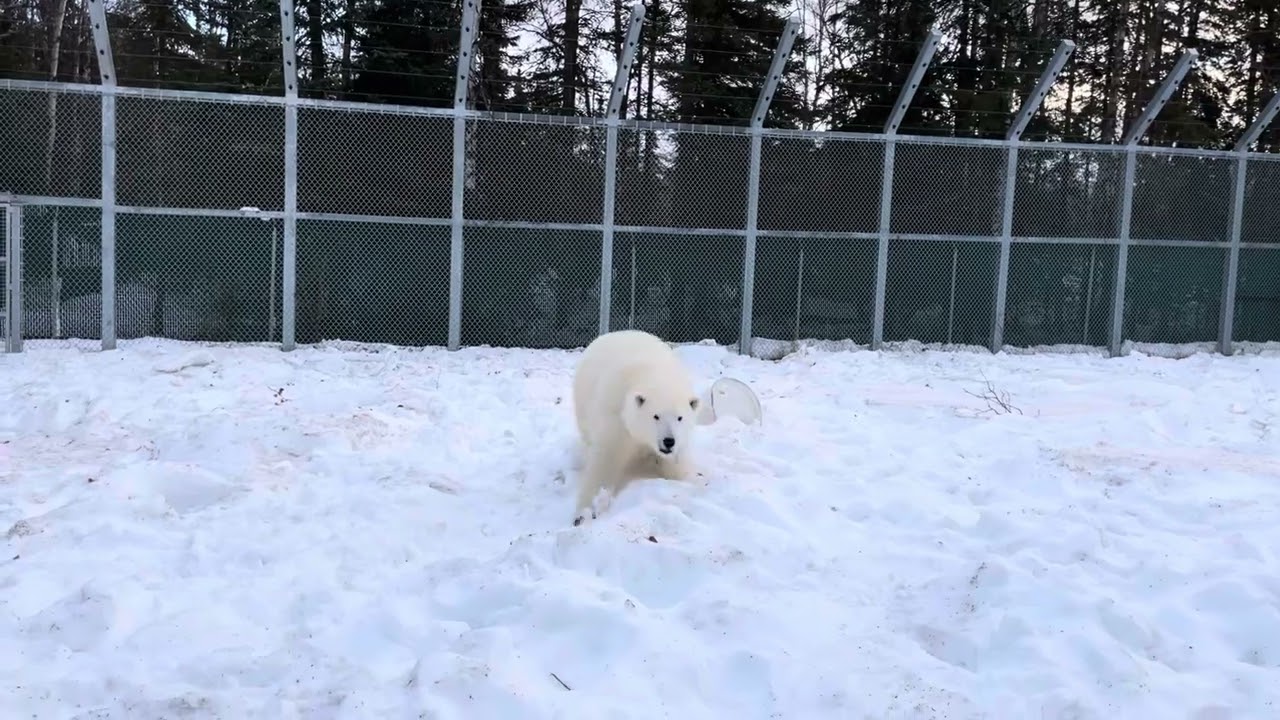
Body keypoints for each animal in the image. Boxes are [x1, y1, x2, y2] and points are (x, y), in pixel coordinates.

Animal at [570, 329, 702, 525]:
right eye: (656, 416)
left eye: (680, 417)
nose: (668, 441)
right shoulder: (616, 420)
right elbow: (605, 461)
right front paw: (586, 512)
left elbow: (677, 462)